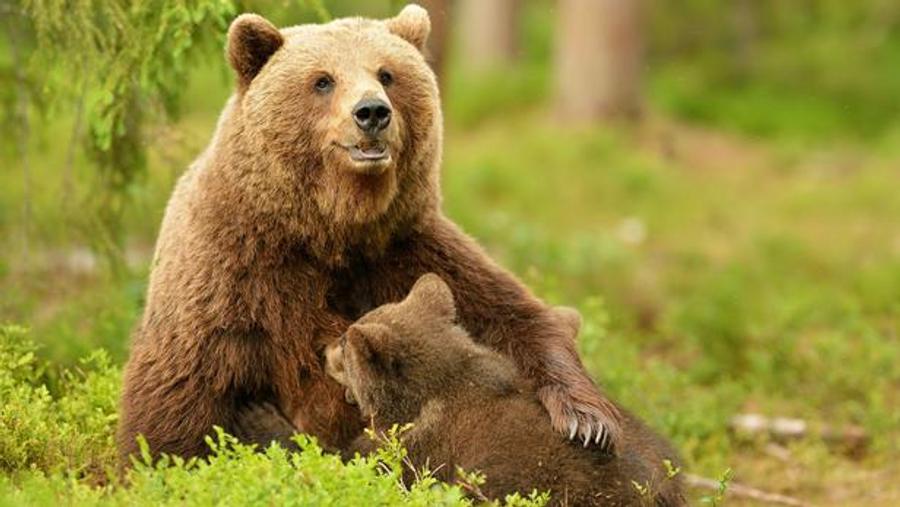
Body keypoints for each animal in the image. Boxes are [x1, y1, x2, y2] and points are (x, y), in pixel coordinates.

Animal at [117, 4, 622, 464]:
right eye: (323, 80)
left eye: (387, 73)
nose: (372, 112)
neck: (331, 229)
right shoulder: (233, 272)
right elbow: (180, 388)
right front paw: (161, 461)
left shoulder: (405, 248)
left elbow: (513, 318)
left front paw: (587, 421)